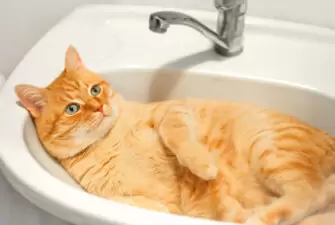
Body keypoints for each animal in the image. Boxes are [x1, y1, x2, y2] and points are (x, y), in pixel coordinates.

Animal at [14, 45, 335, 225]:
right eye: (72, 108)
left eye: (95, 90)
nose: (100, 107)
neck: (110, 141)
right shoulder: (104, 195)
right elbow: (139, 203)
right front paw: (168, 210)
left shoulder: (172, 111)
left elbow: (176, 134)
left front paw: (203, 166)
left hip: (267, 147)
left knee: (308, 192)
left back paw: (259, 216)